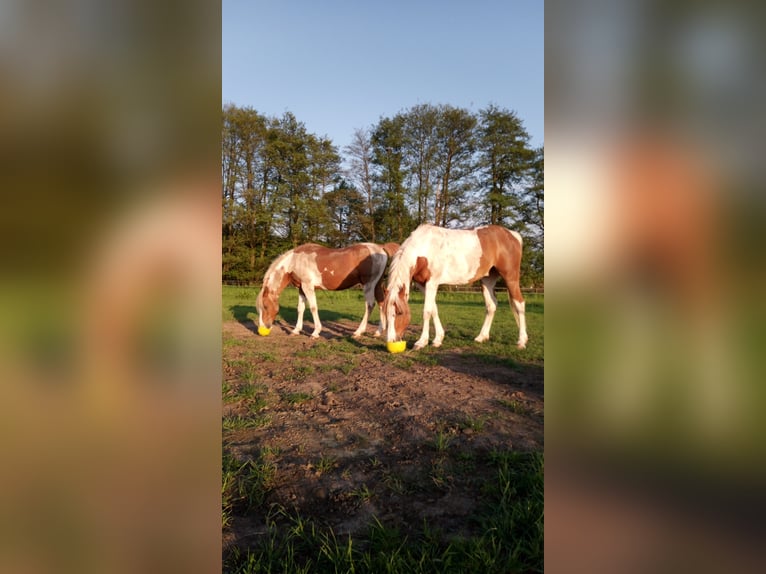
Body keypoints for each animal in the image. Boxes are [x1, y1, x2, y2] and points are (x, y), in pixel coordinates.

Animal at [258, 242, 402, 340]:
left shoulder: (308, 287)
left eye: (265, 306)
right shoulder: (301, 289)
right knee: (382, 303)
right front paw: (296, 330)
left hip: (369, 285)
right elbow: (300, 308)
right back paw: (378, 332)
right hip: (377, 284)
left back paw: (358, 332)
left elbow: (313, 308)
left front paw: (315, 332)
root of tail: (380, 247)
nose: (263, 328)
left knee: (370, 305)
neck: (295, 261)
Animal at [384, 225, 528, 352]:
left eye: (399, 313)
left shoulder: (432, 283)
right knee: (491, 306)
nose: (392, 341)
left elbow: (427, 311)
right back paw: (481, 337)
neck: (425, 248)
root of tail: (513, 235)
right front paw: (438, 339)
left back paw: (522, 341)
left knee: (519, 304)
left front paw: (421, 342)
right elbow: (434, 309)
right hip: (488, 280)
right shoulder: (422, 285)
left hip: (511, 278)